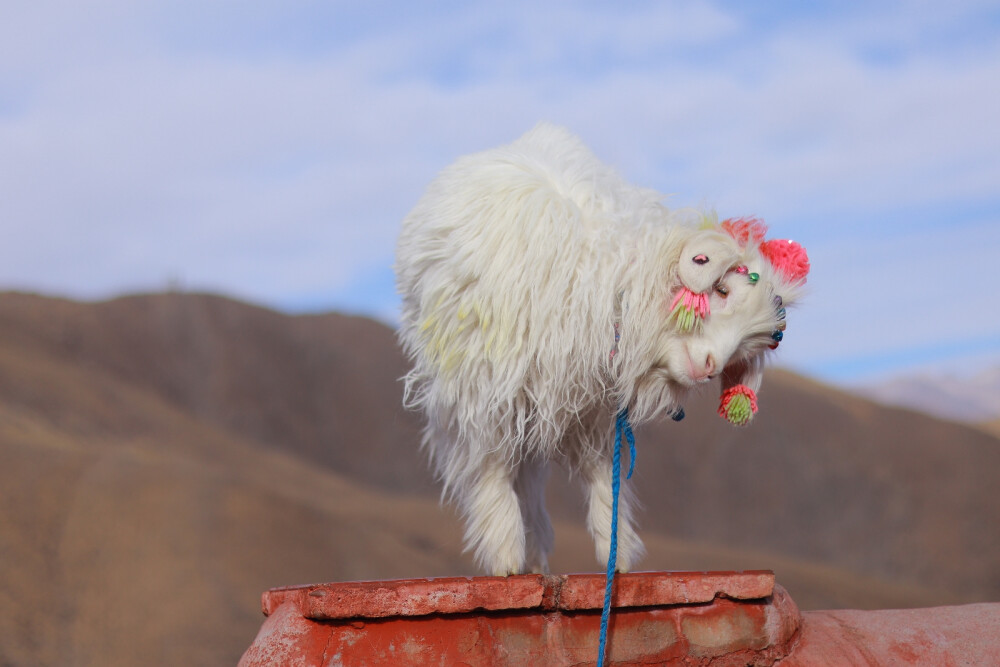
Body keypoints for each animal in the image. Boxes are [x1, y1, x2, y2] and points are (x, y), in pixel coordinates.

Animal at [394, 124, 808, 576]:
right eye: (722, 290)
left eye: (756, 341)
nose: (710, 366)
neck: (610, 288)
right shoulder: (490, 389)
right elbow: (494, 465)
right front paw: (504, 556)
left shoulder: (596, 409)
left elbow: (603, 476)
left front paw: (618, 553)